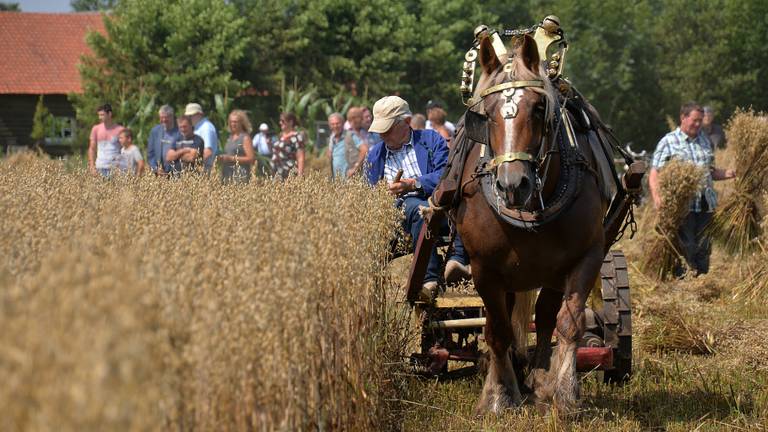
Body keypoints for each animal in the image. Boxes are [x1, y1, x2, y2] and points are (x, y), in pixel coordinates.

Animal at [450, 33, 612, 412]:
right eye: (487, 114)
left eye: (539, 108)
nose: (513, 184)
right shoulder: (484, 268)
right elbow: (497, 330)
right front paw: (498, 395)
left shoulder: (587, 256)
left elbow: (568, 323)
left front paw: (565, 393)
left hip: (551, 273)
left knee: (547, 314)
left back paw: (537, 378)